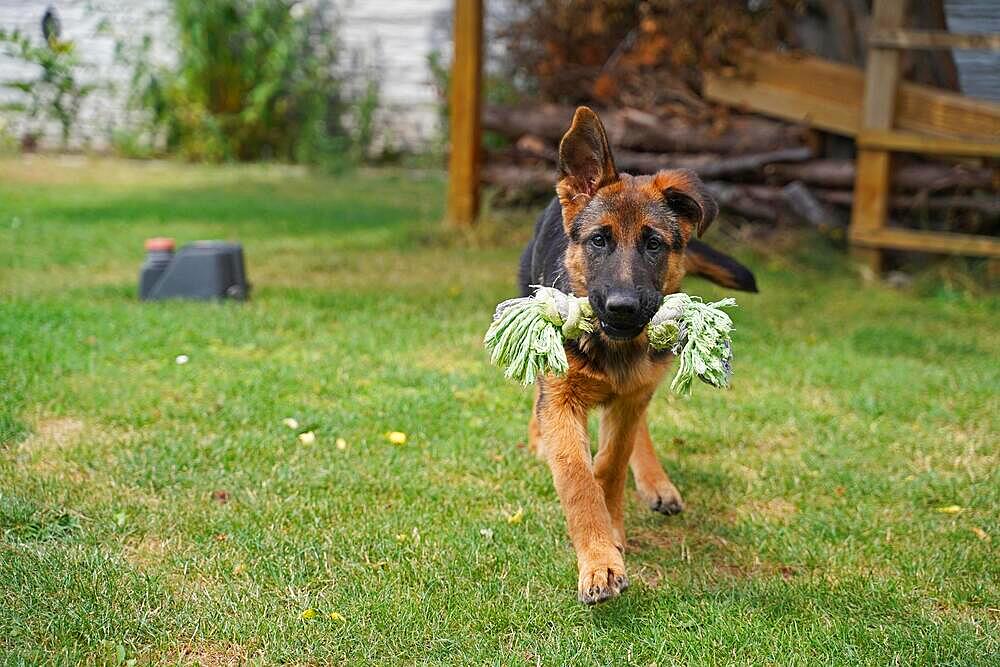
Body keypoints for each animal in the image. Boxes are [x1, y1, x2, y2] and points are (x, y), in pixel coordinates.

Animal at [520, 105, 752, 604]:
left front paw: (612, 531)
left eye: (653, 243)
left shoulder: (630, 396)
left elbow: (609, 464)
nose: (622, 307)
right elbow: (577, 476)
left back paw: (654, 481)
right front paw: (598, 561)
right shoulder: (562, 399)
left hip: (645, 381)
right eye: (599, 240)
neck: (613, 346)